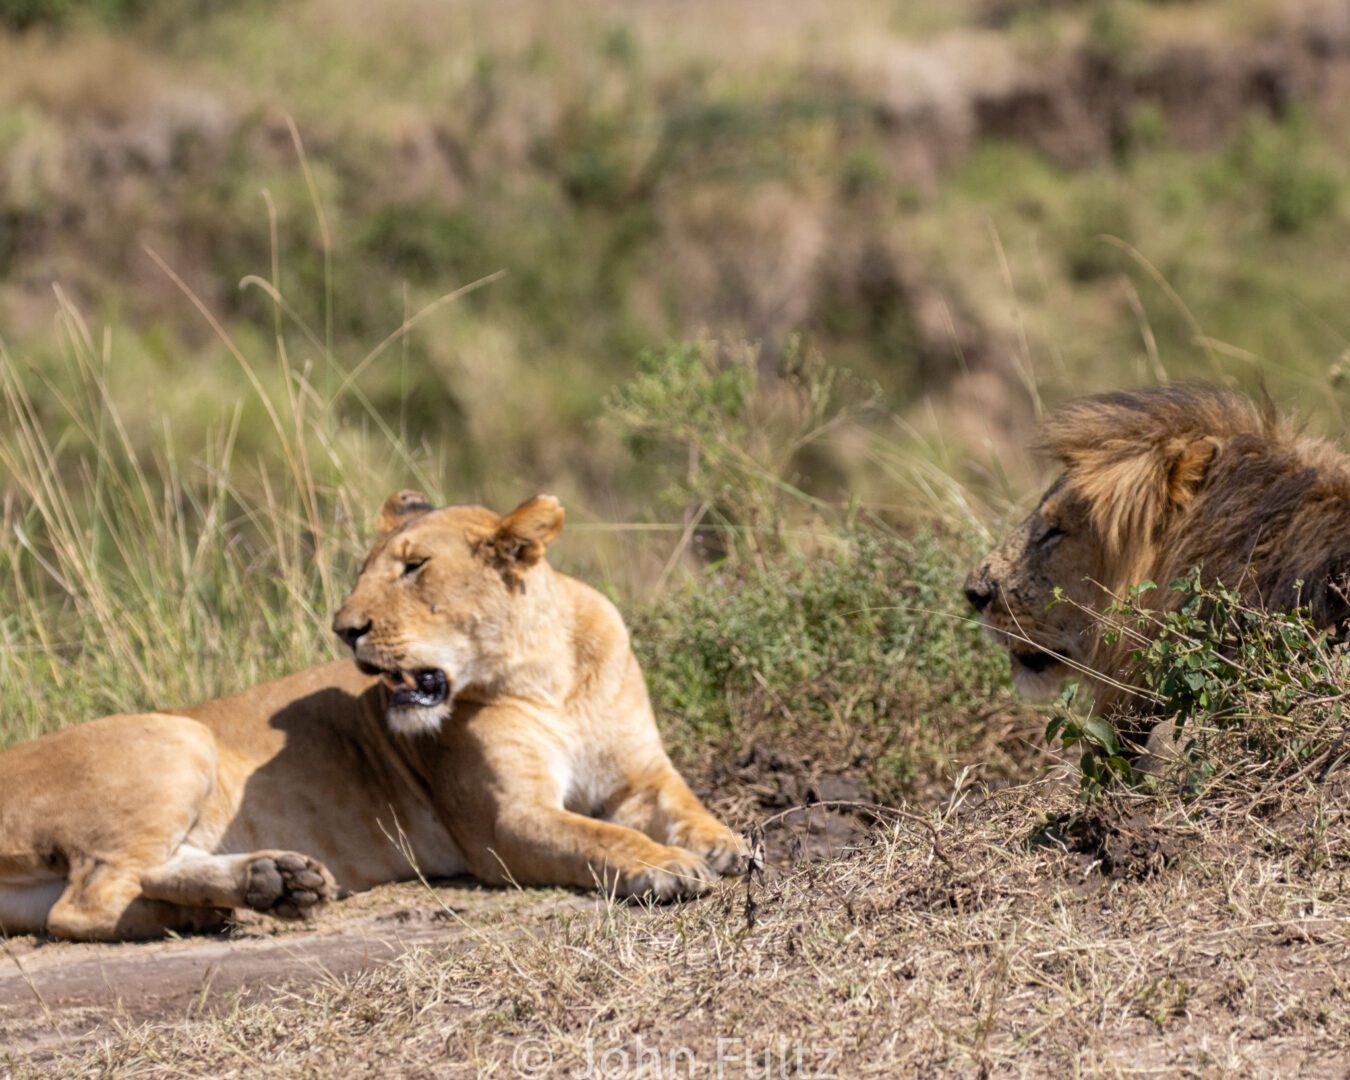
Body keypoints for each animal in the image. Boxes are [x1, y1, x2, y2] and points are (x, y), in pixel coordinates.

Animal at [0, 494, 750, 939]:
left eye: (414, 568)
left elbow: (687, 808)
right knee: (87, 902)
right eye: (363, 571)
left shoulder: (640, 775)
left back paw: (269, 886)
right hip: (179, 737)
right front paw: (668, 867)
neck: (547, 673)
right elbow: (599, 837)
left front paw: (729, 846)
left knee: (125, 882)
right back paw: (224, 910)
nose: (343, 629)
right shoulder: (504, 823)